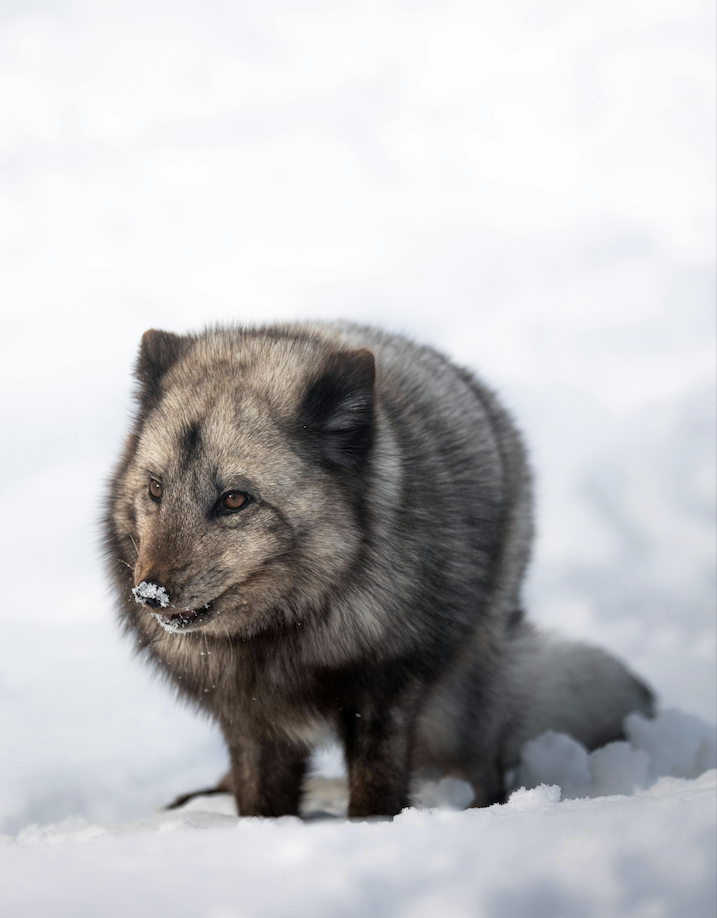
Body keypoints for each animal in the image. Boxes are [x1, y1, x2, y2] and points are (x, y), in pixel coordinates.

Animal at [104, 323, 654, 817]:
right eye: (155, 488)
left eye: (234, 499)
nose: (150, 593)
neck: (283, 635)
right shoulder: (249, 721)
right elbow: (259, 805)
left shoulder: (386, 696)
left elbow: (376, 792)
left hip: (459, 707)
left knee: (484, 768)